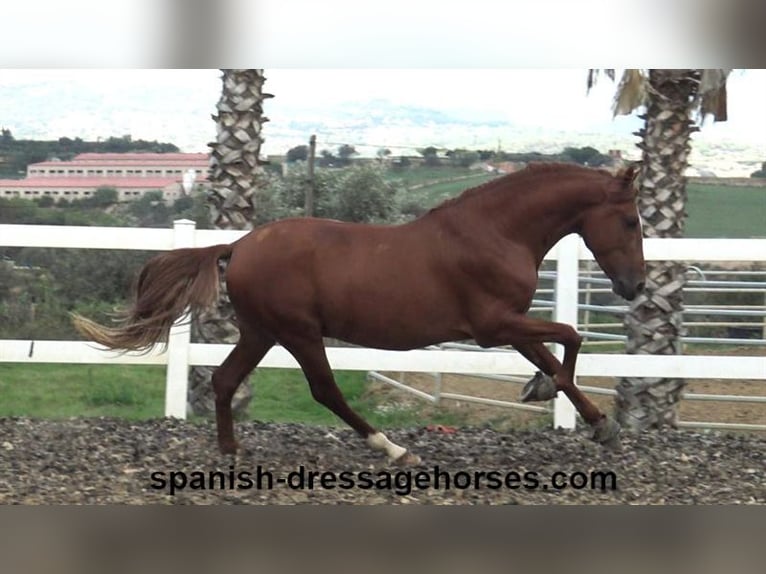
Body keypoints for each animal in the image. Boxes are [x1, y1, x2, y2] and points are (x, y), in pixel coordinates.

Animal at [75, 163, 644, 468]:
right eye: (632, 221)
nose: (634, 286)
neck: (495, 233)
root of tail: (238, 245)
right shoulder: (493, 326)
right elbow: (570, 337)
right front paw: (549, 394)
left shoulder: (512, 322)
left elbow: (553, 351)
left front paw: (598, 423)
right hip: (298, 332)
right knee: (325, 390)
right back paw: (393, 449)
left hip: (261, 332)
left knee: (224, 379)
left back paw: (231, 448)